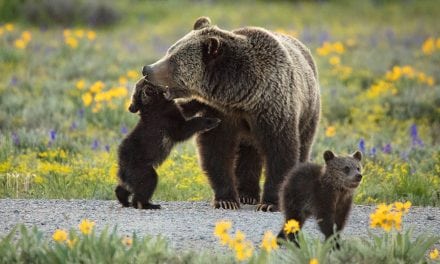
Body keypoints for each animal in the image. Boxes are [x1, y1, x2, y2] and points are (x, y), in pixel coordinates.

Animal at [144, 16, 320, 211]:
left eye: (173, 60)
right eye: (170, 50)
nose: (147, 69)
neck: (242, 97)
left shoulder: (273, 109)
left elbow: (280, 151)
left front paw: (270, 203)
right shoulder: (221, 113)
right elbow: (217, 150)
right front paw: (226, 200)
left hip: (308, 111)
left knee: (303, 146)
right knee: (249, 155)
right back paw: (246, 194)